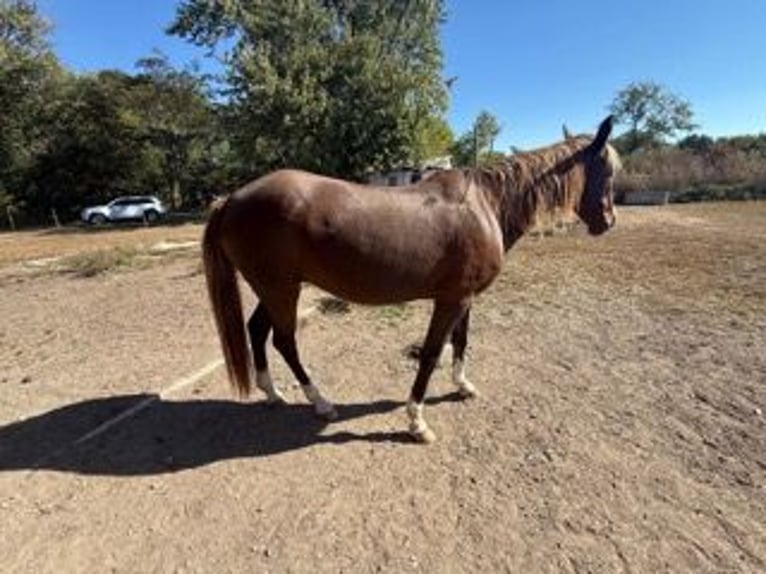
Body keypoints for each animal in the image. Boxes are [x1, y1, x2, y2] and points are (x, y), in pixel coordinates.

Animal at [202, 115, 620, 443]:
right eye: (608, 171)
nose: (608, 221)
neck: (485, 205)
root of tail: (232, 199)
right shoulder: (450, 300)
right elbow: (432, 352)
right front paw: (417, 421)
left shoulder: (465, 297)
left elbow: (461, 340)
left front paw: (462, 386)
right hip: (282, 290)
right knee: (284, 341)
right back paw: (320, 402)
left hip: (274, 288)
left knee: (257, 330)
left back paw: (273, 394)